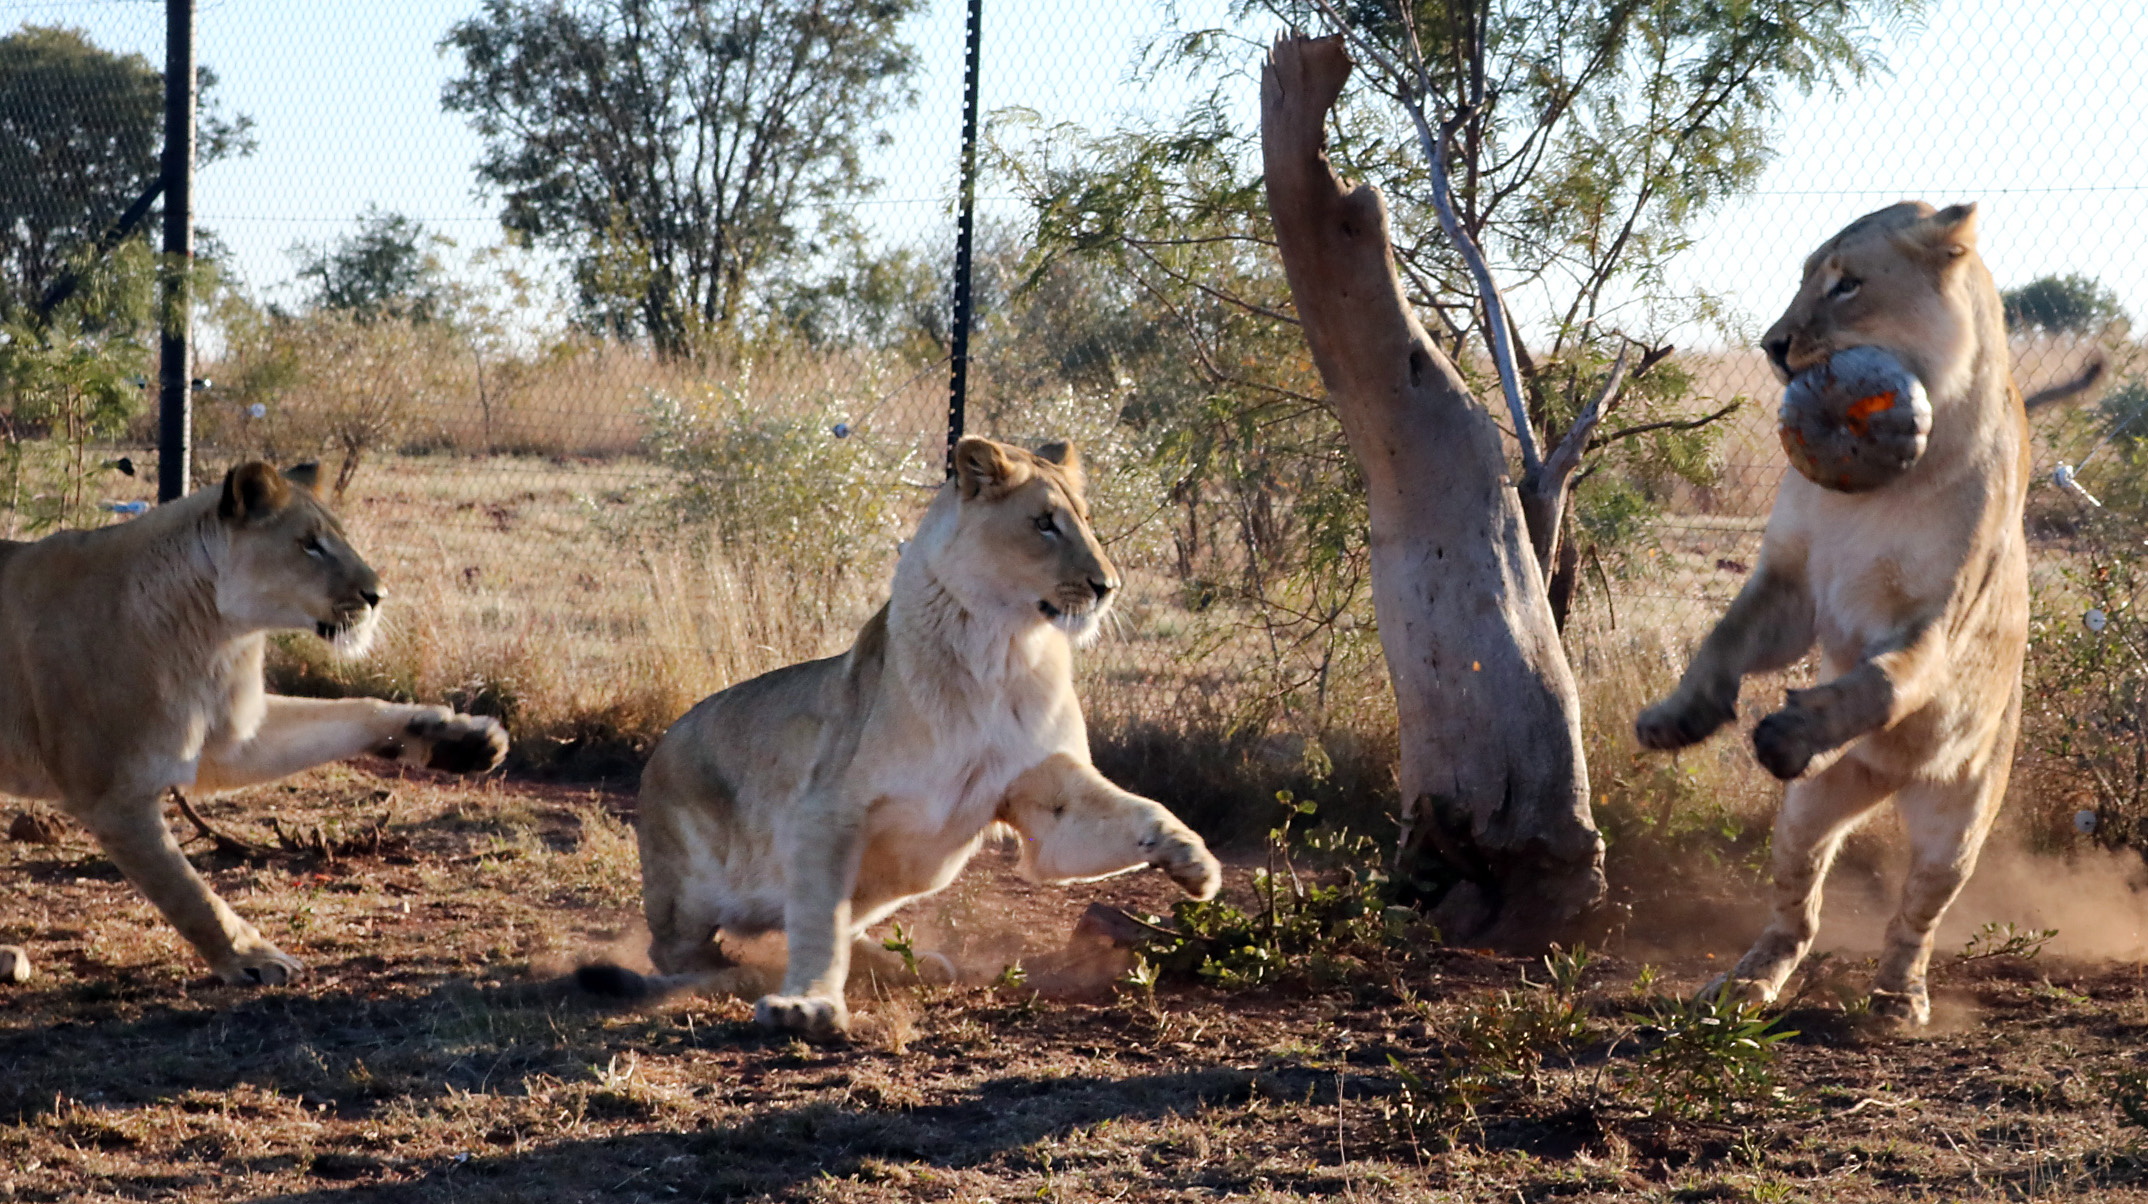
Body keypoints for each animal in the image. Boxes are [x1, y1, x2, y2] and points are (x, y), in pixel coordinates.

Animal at [0, 462, 508, 987]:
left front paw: (462, 740)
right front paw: (252, 956)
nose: (377, 595)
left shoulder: (229, 742)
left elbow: (352, 712)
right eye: (310, 544)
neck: (217, 638)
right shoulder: (111, 797)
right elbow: (186, 889)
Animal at [582, 436, 1222, 1038]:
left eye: (1087, 519)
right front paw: (807, 1006)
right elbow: (819, 924)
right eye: (1044, 522)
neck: (1004, 648)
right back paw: (721, 974)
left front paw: (1194, 862)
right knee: (680, 949)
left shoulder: (1046, 798)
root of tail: (660, 747)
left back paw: (904, 964)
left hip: (912, 874)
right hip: (691, 883)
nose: (1106, 586)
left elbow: (1138, 814)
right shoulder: (825, 811)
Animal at [1635, 202, 2070, 1027]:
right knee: (1797, 913)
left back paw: (1900, 997)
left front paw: (1792, 730)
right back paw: (1743, 984)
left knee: (1914, 917)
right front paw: (1678, 717)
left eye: (1847, 285)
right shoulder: (1790, 582)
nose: (1773, 345)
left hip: (1958, 823)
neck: (1883, 486)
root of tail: (1886, 779)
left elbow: (1884, 682)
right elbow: (1723, 640)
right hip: (1806, 812)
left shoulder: (1938, 620)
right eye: (1806, 277)